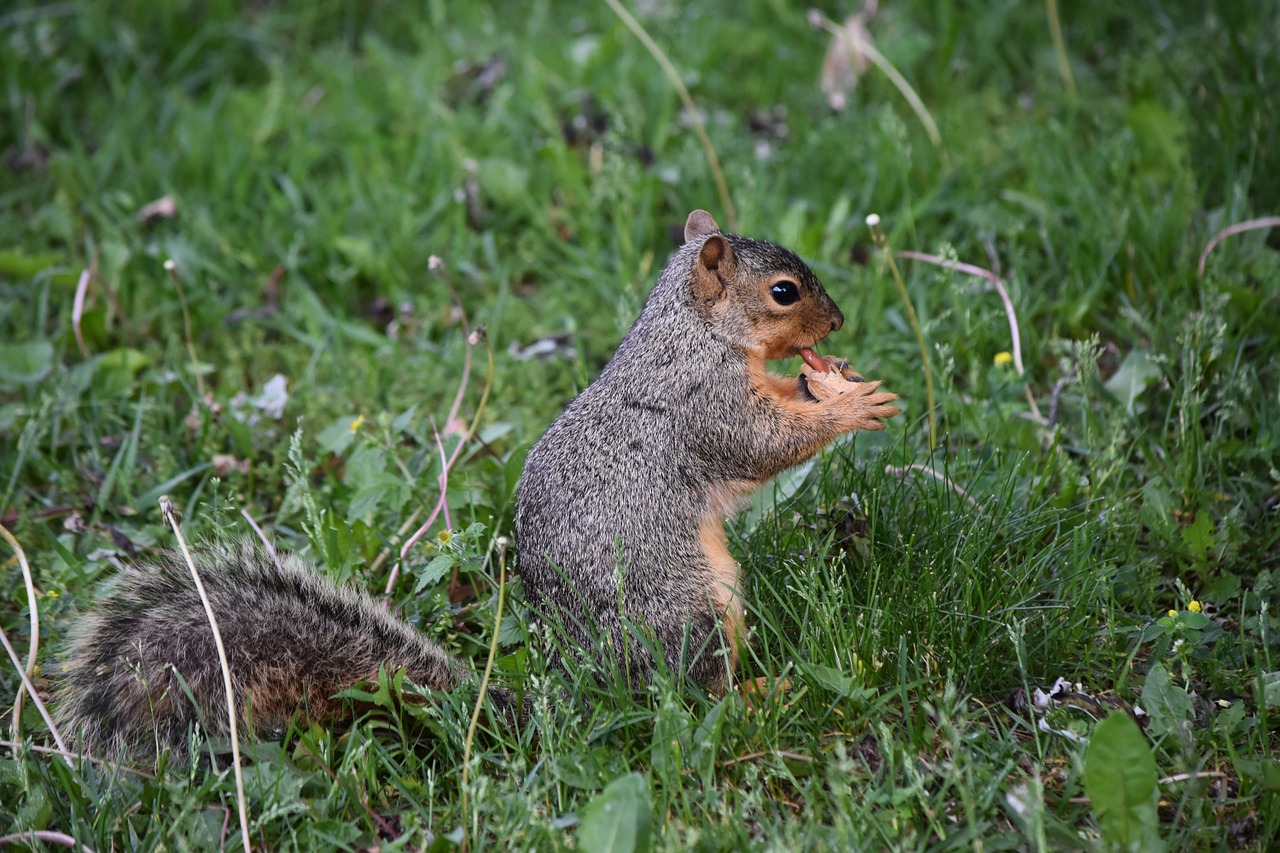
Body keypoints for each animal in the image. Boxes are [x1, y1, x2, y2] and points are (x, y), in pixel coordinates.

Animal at [49, 208, 901, 753]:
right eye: (784, 291)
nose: (838, 324)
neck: (694, 328)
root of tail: (584, 691)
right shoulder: (704, 401)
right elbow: (762, 443)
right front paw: (850, 402)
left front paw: (832, 376)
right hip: (691, 607)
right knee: (690, 698)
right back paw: (763, 694)